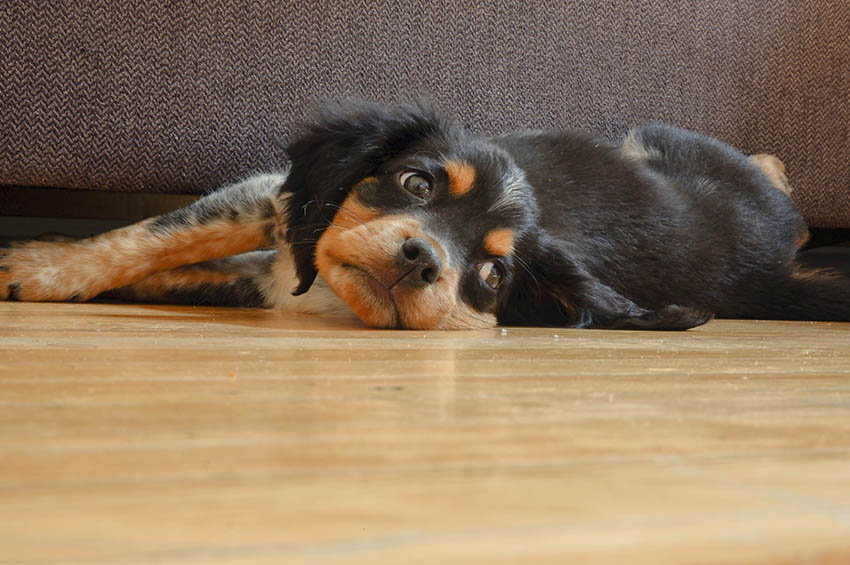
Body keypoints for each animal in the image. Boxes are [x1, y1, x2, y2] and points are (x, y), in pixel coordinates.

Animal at [1, 100, 848, 330]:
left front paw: (34, 265)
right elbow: (156, 240)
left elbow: (178, 251)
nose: (421, 258)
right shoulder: (277, 206)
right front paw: (42, 266)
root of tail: (772, 267)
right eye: (414, 183)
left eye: (493, 272)